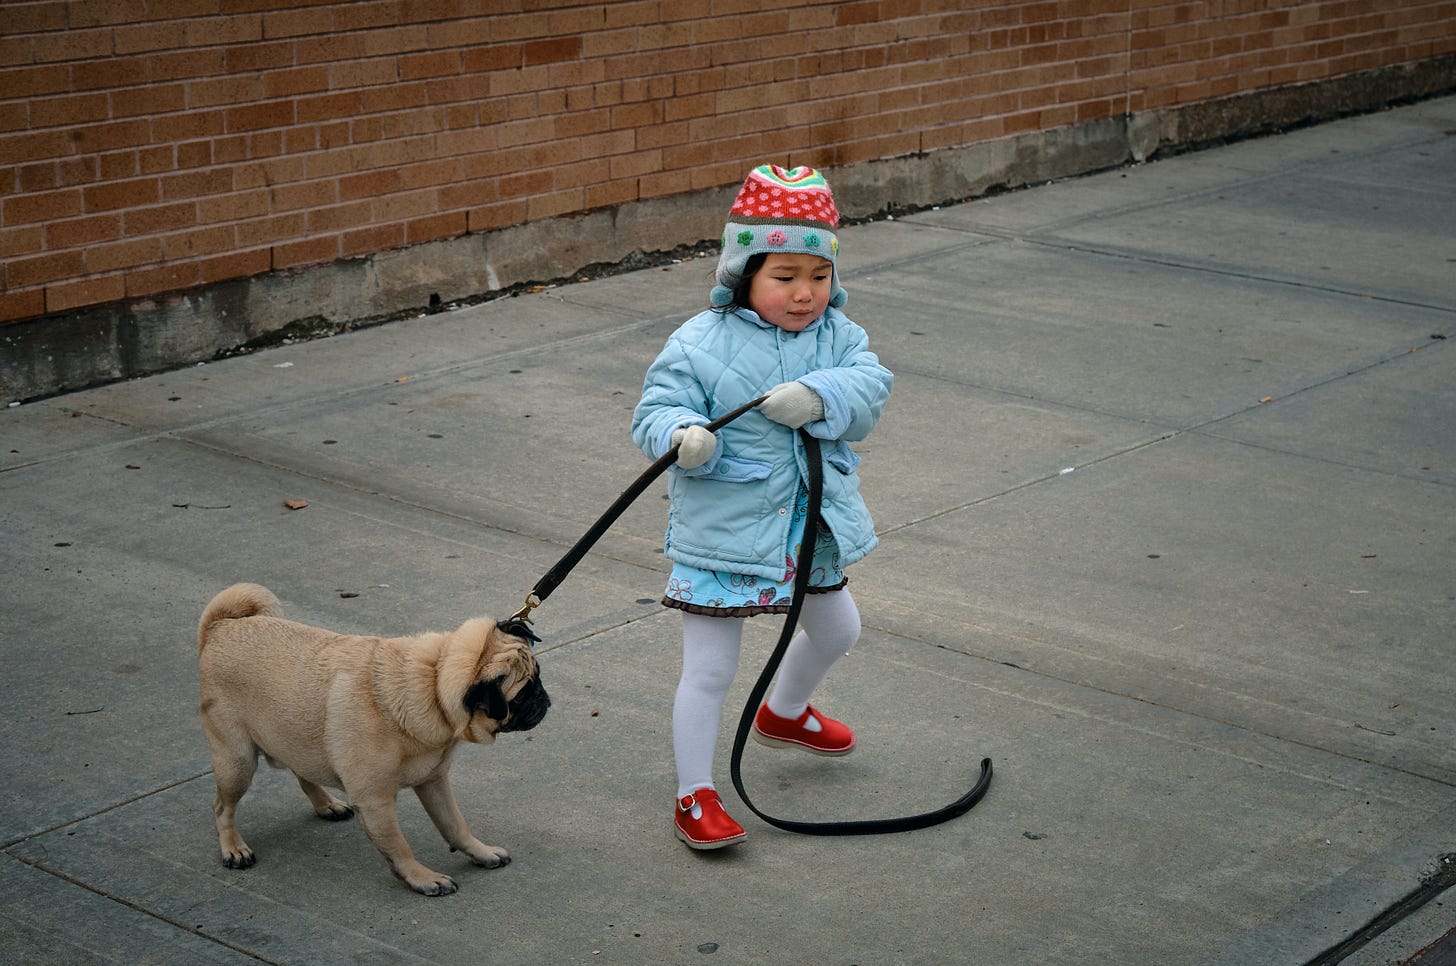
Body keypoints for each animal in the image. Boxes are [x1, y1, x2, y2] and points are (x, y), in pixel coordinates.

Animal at [196, 582, 547, 891]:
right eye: (519, 697)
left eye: (539, 677)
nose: (544, 701)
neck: (431, 681)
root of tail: (220, 627)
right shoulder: (375, 801)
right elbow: (398, 846)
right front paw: (422, 878)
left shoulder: (433, 781)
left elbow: (455, 825)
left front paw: (481, 852)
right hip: (238, 761)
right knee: (221, 807)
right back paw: (233, 848)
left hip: (295, 736)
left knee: (303, 773)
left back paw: (327, 804)